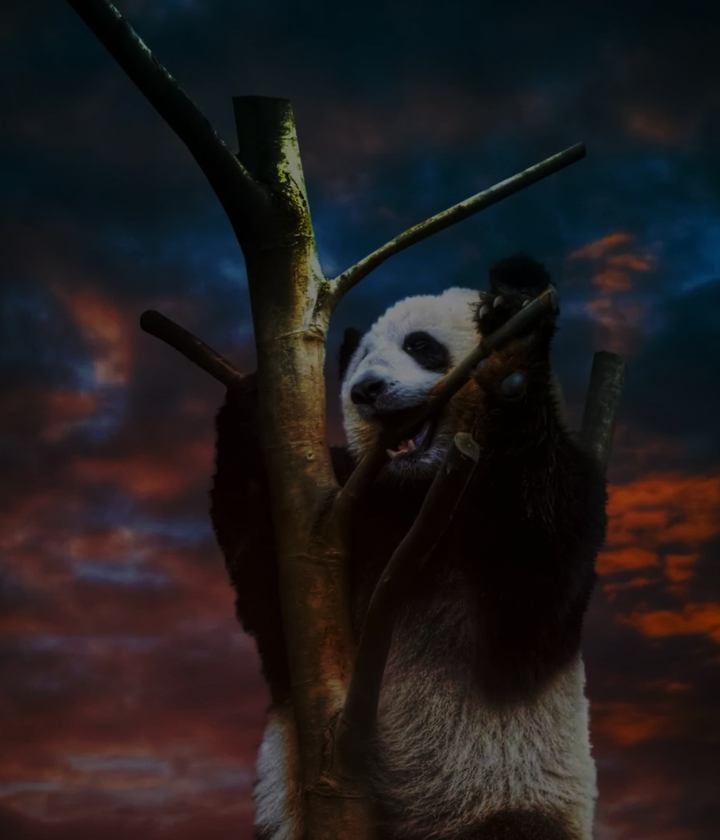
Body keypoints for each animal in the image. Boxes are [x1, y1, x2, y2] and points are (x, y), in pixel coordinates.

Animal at [210, 255, 608, 840]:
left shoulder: (563, 498)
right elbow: (271, 614)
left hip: (511, 796)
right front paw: (252, 410)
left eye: (420, 345)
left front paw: (513, 335)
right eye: (358, 363)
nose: (367, 390)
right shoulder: (354, 511)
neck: (419, 490)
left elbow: (531, 592)